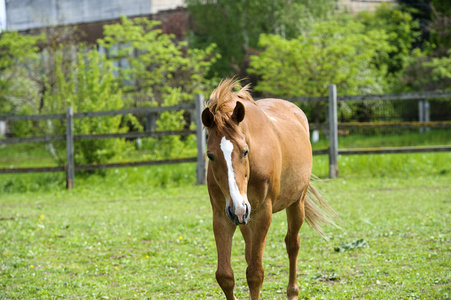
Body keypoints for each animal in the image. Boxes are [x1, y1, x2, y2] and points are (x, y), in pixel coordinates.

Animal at [202, 79, 340, 300]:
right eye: (210, 155)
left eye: (245, 151)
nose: (238, 207)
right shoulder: (223, 216)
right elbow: (225, 275)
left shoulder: (262, 214)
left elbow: (255, 274)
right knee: (250, 252)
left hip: (295, 204)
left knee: (292, 244)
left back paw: (292, 292)